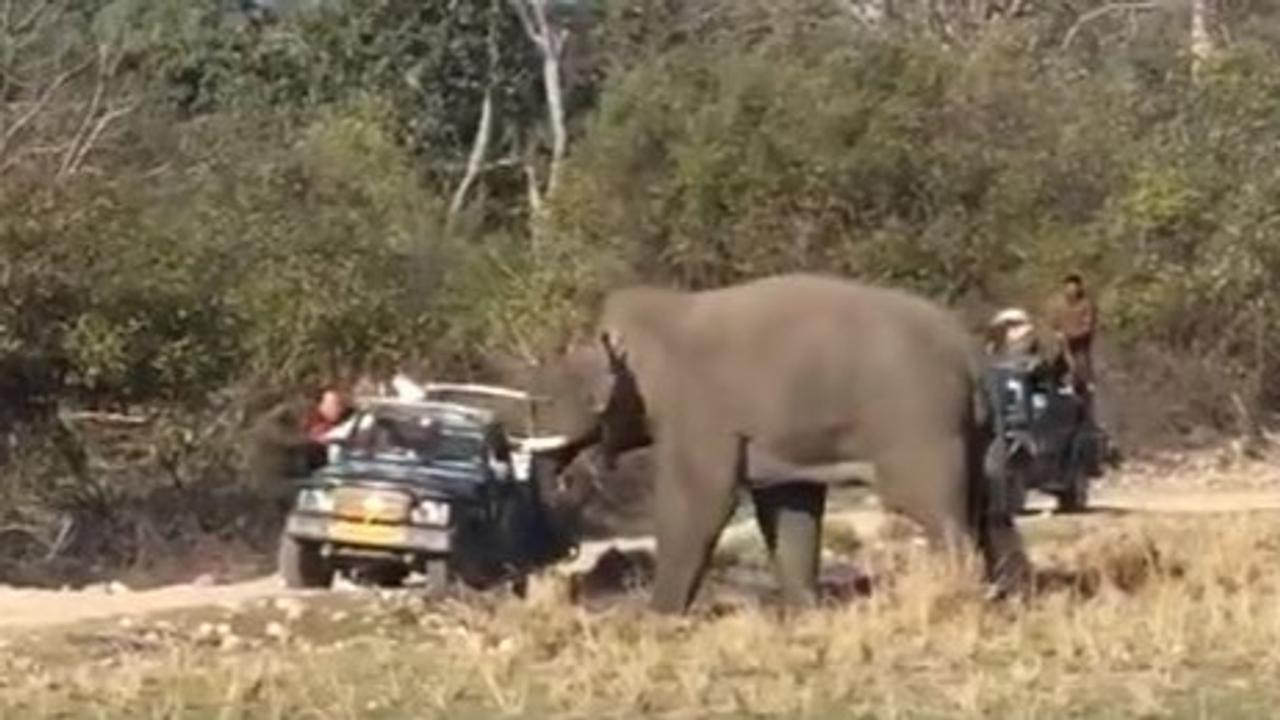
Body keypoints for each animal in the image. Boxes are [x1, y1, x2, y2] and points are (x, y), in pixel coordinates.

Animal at [550, 271, 1029, 614]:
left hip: (919, 422)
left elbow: (700, 501)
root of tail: (971, 352)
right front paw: (803, 614)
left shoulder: (700, 412)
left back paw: (958, 598)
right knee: (992, 510)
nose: (564, 478)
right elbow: (788, 506)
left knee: (935, 508)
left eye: (575, 392)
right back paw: (1009, 602)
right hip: (978, 434)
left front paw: (656, 620)